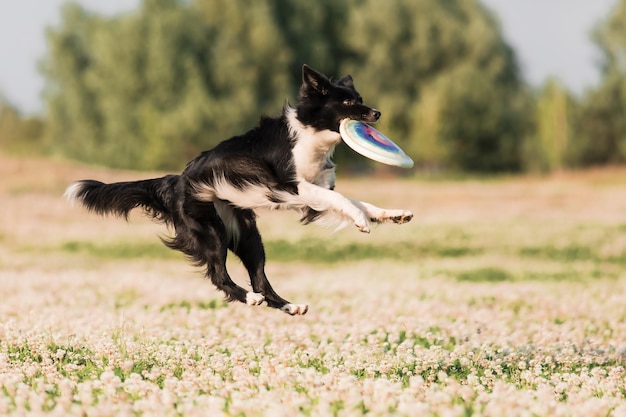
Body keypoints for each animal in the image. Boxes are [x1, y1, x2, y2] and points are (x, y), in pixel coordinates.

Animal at [66, 64, 412, 316]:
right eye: (350, 102)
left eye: (360, 98)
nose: (377, 113)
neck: (311, 134)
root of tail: (175, 182)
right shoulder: (290, 186)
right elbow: (340, 198)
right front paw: (362, 221)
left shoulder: (312, 193)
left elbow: (356, 200)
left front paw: (392, 215)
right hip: (211, 231)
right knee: (219, 275)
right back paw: (249, 298)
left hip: (247, 234)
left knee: (260, 277)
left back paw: (289, 305)